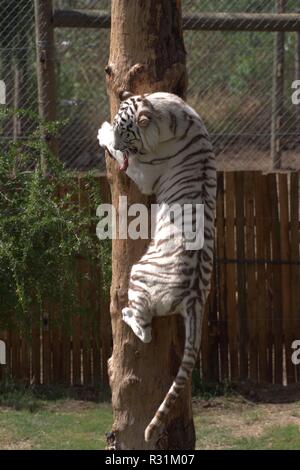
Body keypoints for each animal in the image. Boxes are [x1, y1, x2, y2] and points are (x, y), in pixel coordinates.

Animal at [97, 92, 217, 444]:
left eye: (127, 132)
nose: (120, 146)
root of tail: (194, 297)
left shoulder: (145, 173)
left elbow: (125, 158)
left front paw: (102, 132)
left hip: (138, 274)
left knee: (144, 329)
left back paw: (126, 315)